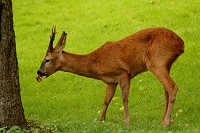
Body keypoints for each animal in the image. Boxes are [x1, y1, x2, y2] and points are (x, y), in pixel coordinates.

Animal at [36, 25, 184, 127]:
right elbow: (106, 100)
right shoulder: (110, 81)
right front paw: (101, 120)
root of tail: (181, 44)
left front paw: (127, 122)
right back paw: (164, 120)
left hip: (156, 63)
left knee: (172, 87)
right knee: (166, 90)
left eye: (47, 59)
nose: (39, 73)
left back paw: (166, 122)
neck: (96, 63)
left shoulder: (124, 72)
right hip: (165, 65)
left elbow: (124, 97)